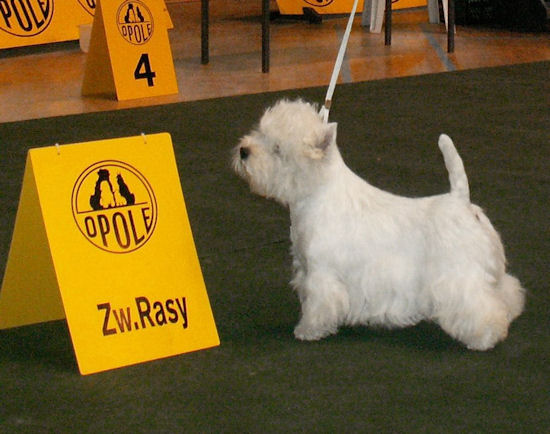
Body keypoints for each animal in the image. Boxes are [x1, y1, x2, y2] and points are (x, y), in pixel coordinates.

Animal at [232, 100, 528, 350]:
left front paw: (308, 330)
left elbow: (318, 305)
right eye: (259, 132)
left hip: (459, 274)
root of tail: (461, 200)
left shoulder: (321, 274)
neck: (317, 193)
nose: (244, 151)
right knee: (505, 289)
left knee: (477, 304)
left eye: (278, 149)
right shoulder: (308, 270)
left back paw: (485, 336)